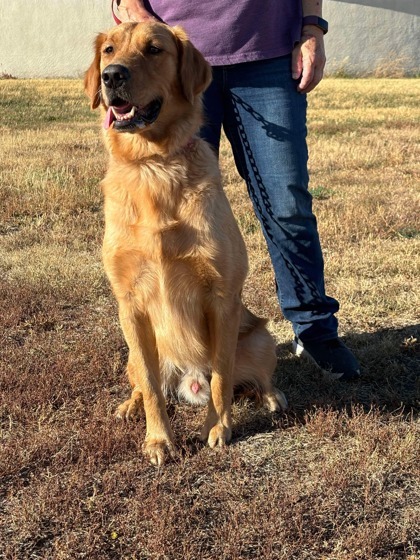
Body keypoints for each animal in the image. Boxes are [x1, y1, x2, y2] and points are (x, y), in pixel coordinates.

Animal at [85, 21, 288, 466]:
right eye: (109, 50)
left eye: (154, 49)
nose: (112, 76)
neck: (153, 165)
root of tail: (187, 381)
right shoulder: (129, 304)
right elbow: (152, 389)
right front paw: (159, 439)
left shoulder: (221, 296)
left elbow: (222, 376)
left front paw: (217, 427)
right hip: (133, 351)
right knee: (144, 383)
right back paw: (130, 406)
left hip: (260, 339)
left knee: (249, 377)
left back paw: (270, 397)